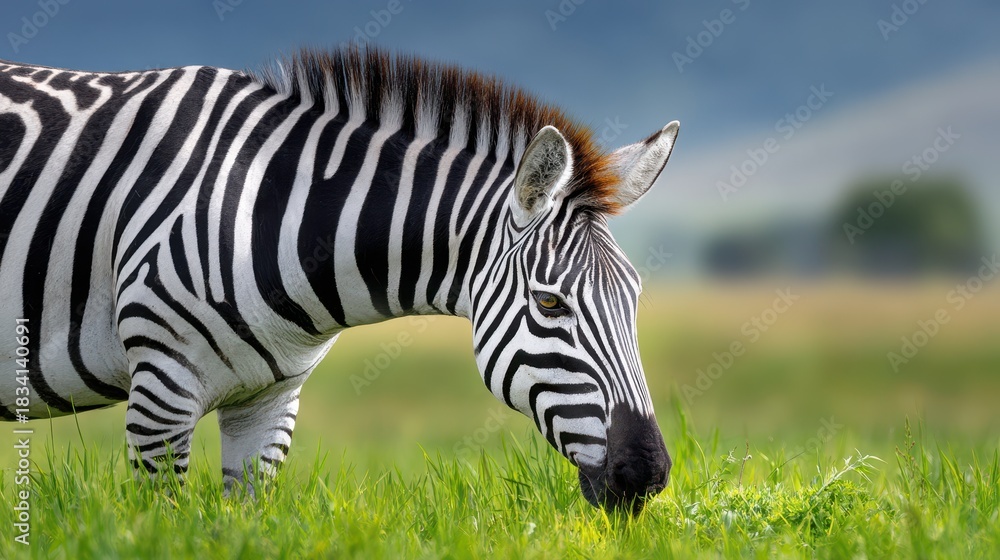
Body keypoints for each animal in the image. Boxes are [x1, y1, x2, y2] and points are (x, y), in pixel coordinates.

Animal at [0, 47, 679, 512]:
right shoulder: (161, 389)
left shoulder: (270, 402)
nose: (646, 477)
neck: (272, 217)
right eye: (549, 303)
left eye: (635, 300)